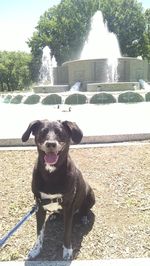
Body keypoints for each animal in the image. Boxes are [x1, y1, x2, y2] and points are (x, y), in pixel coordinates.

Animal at [21, 120, 95, 260]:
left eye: (60, 133)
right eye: (43, 132)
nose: (51, 144)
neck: (51, 173)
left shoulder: (69, 207)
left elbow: (66, 232)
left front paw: (67, 251)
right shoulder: (39, 206)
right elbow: (39, 232)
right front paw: (36, 249)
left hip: (91, 195)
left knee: (85, 209)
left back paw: (83, 217)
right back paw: (55, 215)